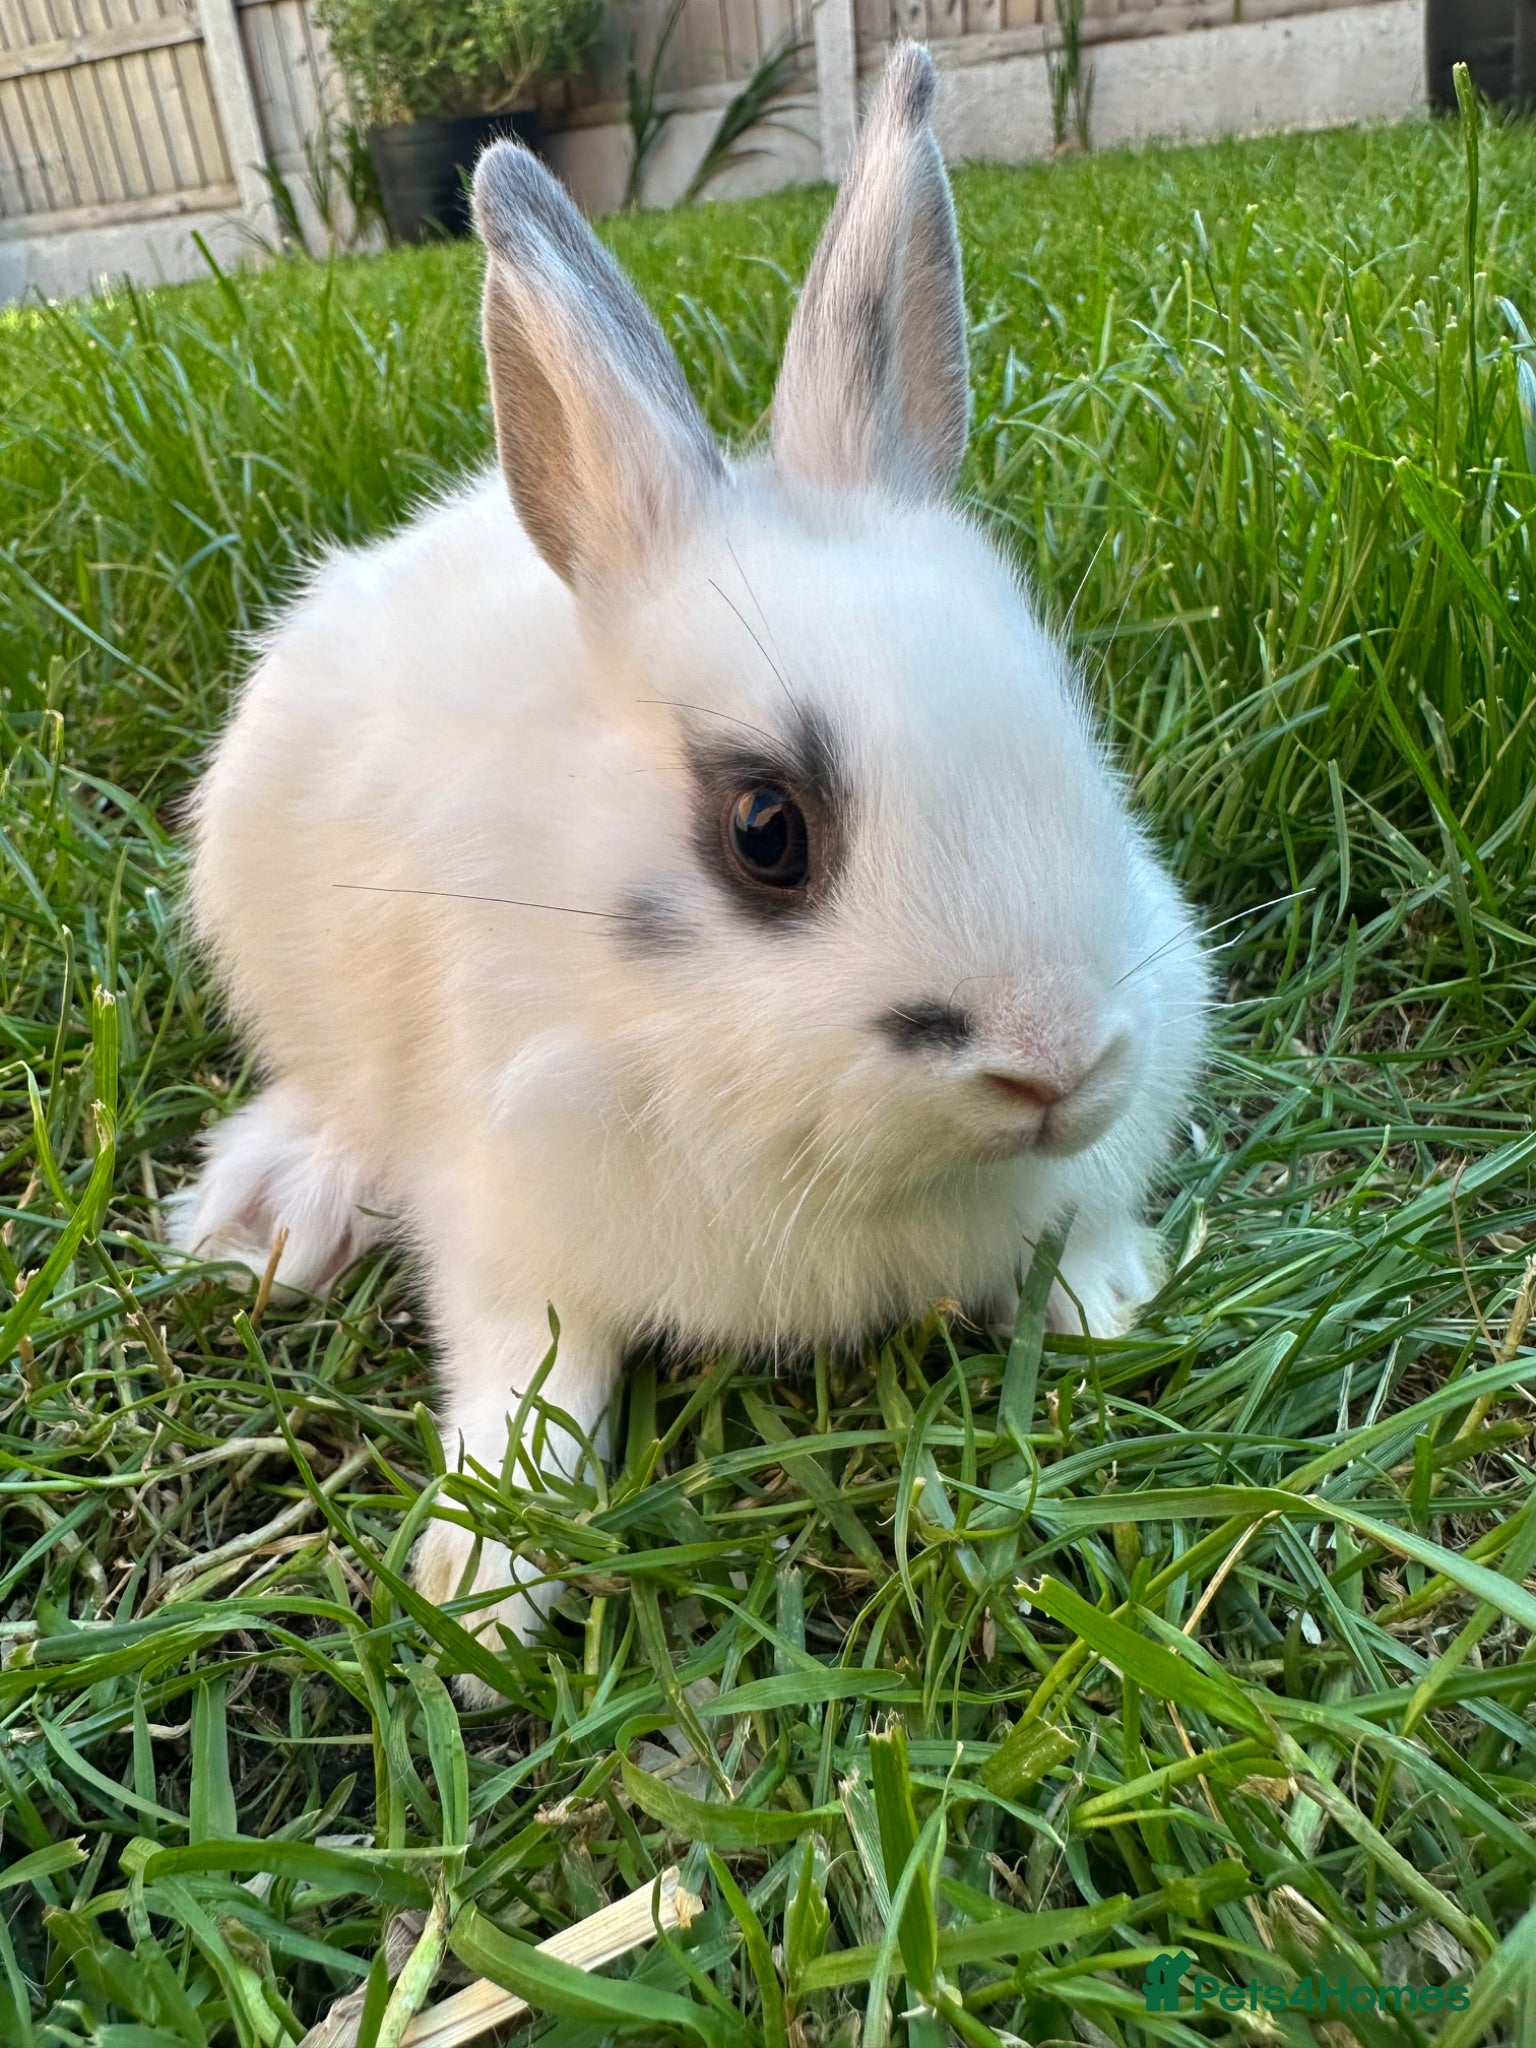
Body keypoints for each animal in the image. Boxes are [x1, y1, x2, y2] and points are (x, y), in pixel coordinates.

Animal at [170, 40, 1208, 1699]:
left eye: (1076, 733)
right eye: (767, 830)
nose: (1060, 1066)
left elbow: (1088, 1223)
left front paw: (1106, 1304)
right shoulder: (508, 1211)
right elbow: (529, 1374)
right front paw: (483, 1597)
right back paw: (276, 1214)